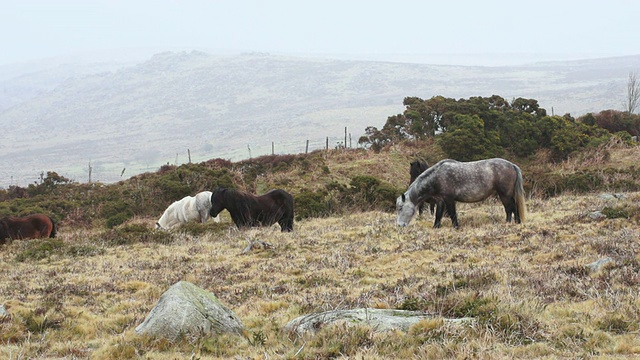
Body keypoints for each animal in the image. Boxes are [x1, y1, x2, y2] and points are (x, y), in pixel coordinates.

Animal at [398, 158, 528, 228]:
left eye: (400, 208)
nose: (399, 225)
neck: (437, 176)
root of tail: (511, 165)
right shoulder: (440, 200)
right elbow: (438, 215)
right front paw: (436, 227)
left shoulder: (449, 199)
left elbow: (452, 214)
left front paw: (456, 227)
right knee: (514, 207)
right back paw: (517, 223)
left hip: (504, 194)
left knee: (509, 208)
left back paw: (508, 223)